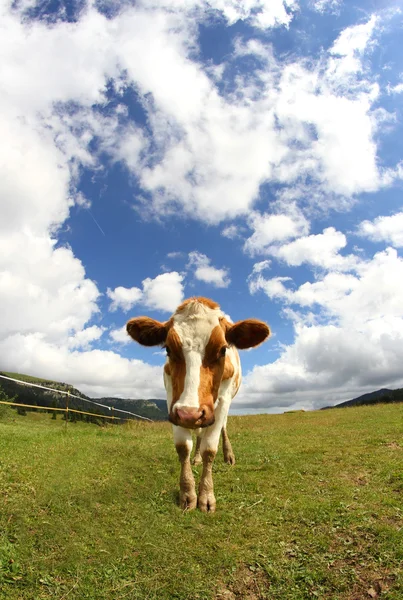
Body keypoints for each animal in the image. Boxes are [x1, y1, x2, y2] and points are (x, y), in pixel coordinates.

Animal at [127, 296, 272, 510]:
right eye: (168, 349)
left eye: (222, 349)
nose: (190, 414)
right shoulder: (173, 402)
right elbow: (183, 447)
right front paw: (187, 493)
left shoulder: (222, 401)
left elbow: (210, 449)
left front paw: (206, 496)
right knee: (199, 434)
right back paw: (196, 457)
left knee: (221, 429)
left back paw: (228, 455)